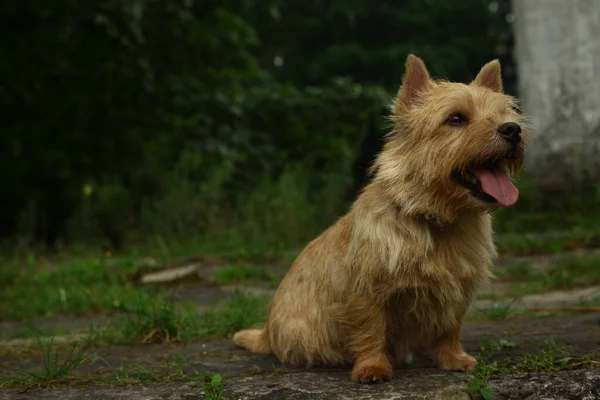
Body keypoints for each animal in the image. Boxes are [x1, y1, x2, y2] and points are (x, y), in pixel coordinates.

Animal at [232, 54, 528, 382]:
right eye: (456, 119)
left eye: (506, 113)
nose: (513, 129)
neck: (434, 218)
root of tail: (267, 332)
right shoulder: (367, 290)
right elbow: (371, 329)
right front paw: (372, 367)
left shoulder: (459, 288)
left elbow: (450, 327)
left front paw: (453, 358)